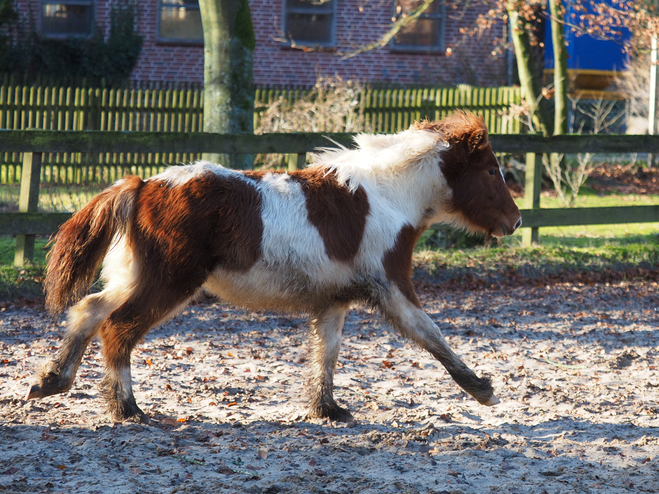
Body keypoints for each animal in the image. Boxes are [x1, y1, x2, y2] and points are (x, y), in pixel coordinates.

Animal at [25, 113, 520, 424]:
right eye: (491, 171)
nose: (514, 221)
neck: (388, 196)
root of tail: (142, 184)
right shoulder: (393, 287)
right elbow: (431, 335)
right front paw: (483, 389)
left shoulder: (336, 298)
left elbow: (327, 352)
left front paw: (327, 410)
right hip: (169, 281)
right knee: (117, 328)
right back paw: (127, 410)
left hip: (135, 275)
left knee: (89, 310)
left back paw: (51, 381)